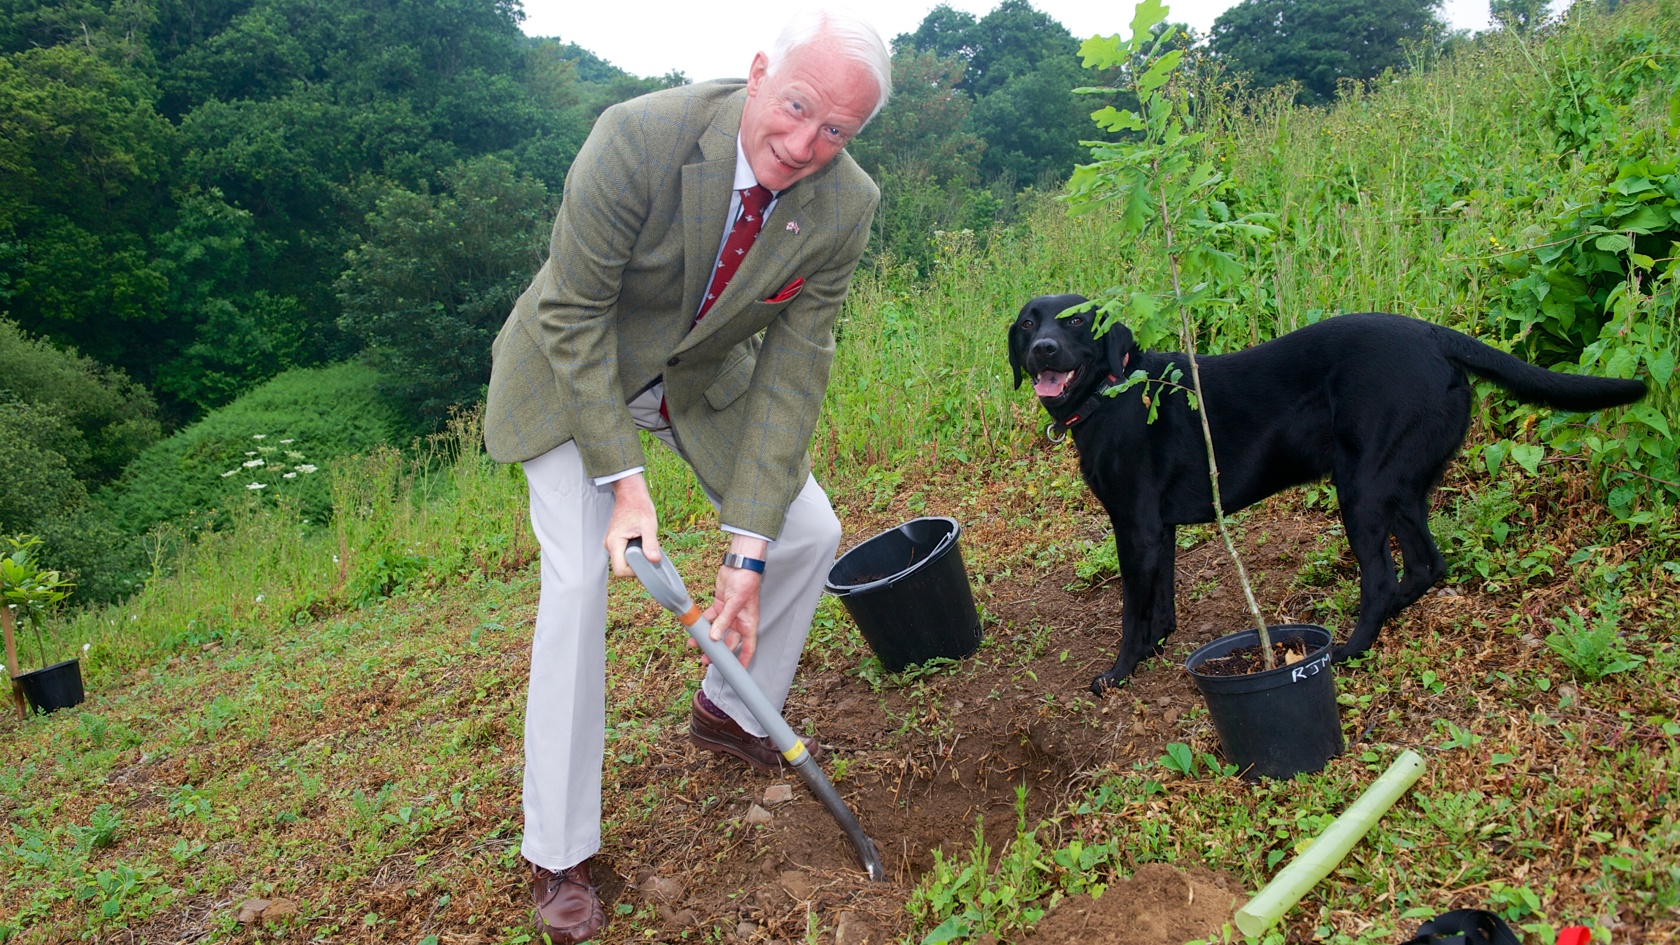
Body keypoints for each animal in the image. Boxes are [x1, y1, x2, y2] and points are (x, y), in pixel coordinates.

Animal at [1001, 290, 1646, 689]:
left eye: (1076, 320)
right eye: (1029, 323)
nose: (1043, 350)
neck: (1111, 391)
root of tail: (1434, 336)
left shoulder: (1134, 528)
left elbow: (1132, 612)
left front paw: (1120, 672)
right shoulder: (1159, 530)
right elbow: (1162, 600)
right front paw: (1159, 644)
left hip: (1360, 489)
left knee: (1383, 575)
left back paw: (1349, 648)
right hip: (1398, 487)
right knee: (1426, 564)